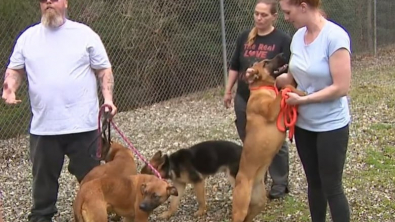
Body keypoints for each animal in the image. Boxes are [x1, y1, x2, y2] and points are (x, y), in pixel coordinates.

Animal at [232, 52, 306, 222]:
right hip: (240, 209)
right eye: (266, 62)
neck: (263, 88)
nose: (282, 53)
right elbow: (285, 88)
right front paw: (301, 93)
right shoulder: (272, 110)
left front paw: (298, 93)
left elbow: (287, 88)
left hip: (258, 204)